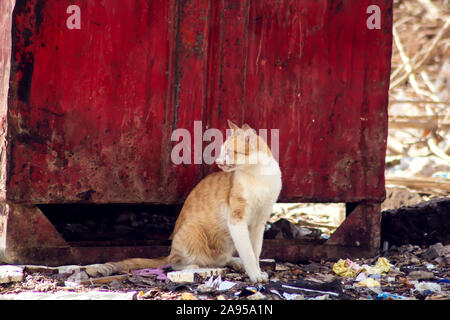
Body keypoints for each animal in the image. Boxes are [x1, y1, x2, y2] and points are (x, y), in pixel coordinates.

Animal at [85, 120, 280, 282]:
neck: (259, 176)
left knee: (221, 260)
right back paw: (193, 266)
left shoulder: (259, 223)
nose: (218, 160)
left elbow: (255, 252)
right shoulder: (237, 219)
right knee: (175, 262)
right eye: (221, 151)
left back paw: (234, 262)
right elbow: (248, 252)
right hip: (192, 232)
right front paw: (254, 274)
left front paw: (257, 271)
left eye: (229, 152)